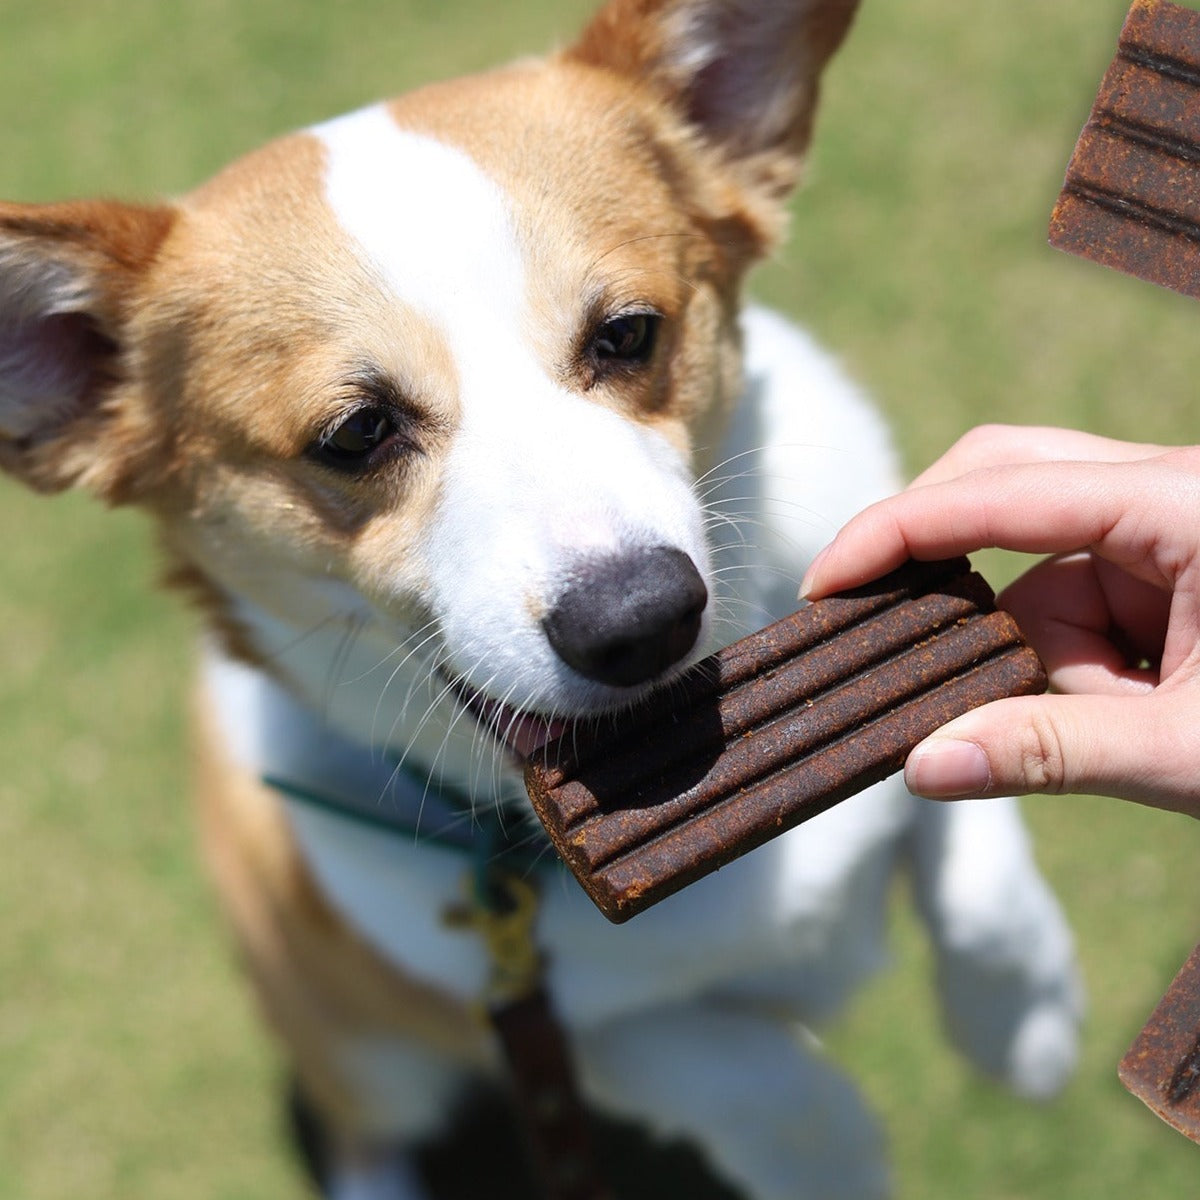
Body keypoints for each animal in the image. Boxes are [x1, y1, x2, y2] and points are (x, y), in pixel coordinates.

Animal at [0, 2, 1084, 1200]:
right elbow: (753, 1080)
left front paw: (1024, 1024)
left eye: (628, 334)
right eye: (356, 433)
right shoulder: (546, 1023)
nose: (640, 620)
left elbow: (973, 838)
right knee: (362, 1127)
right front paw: (832, 1155)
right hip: (351, 1041)